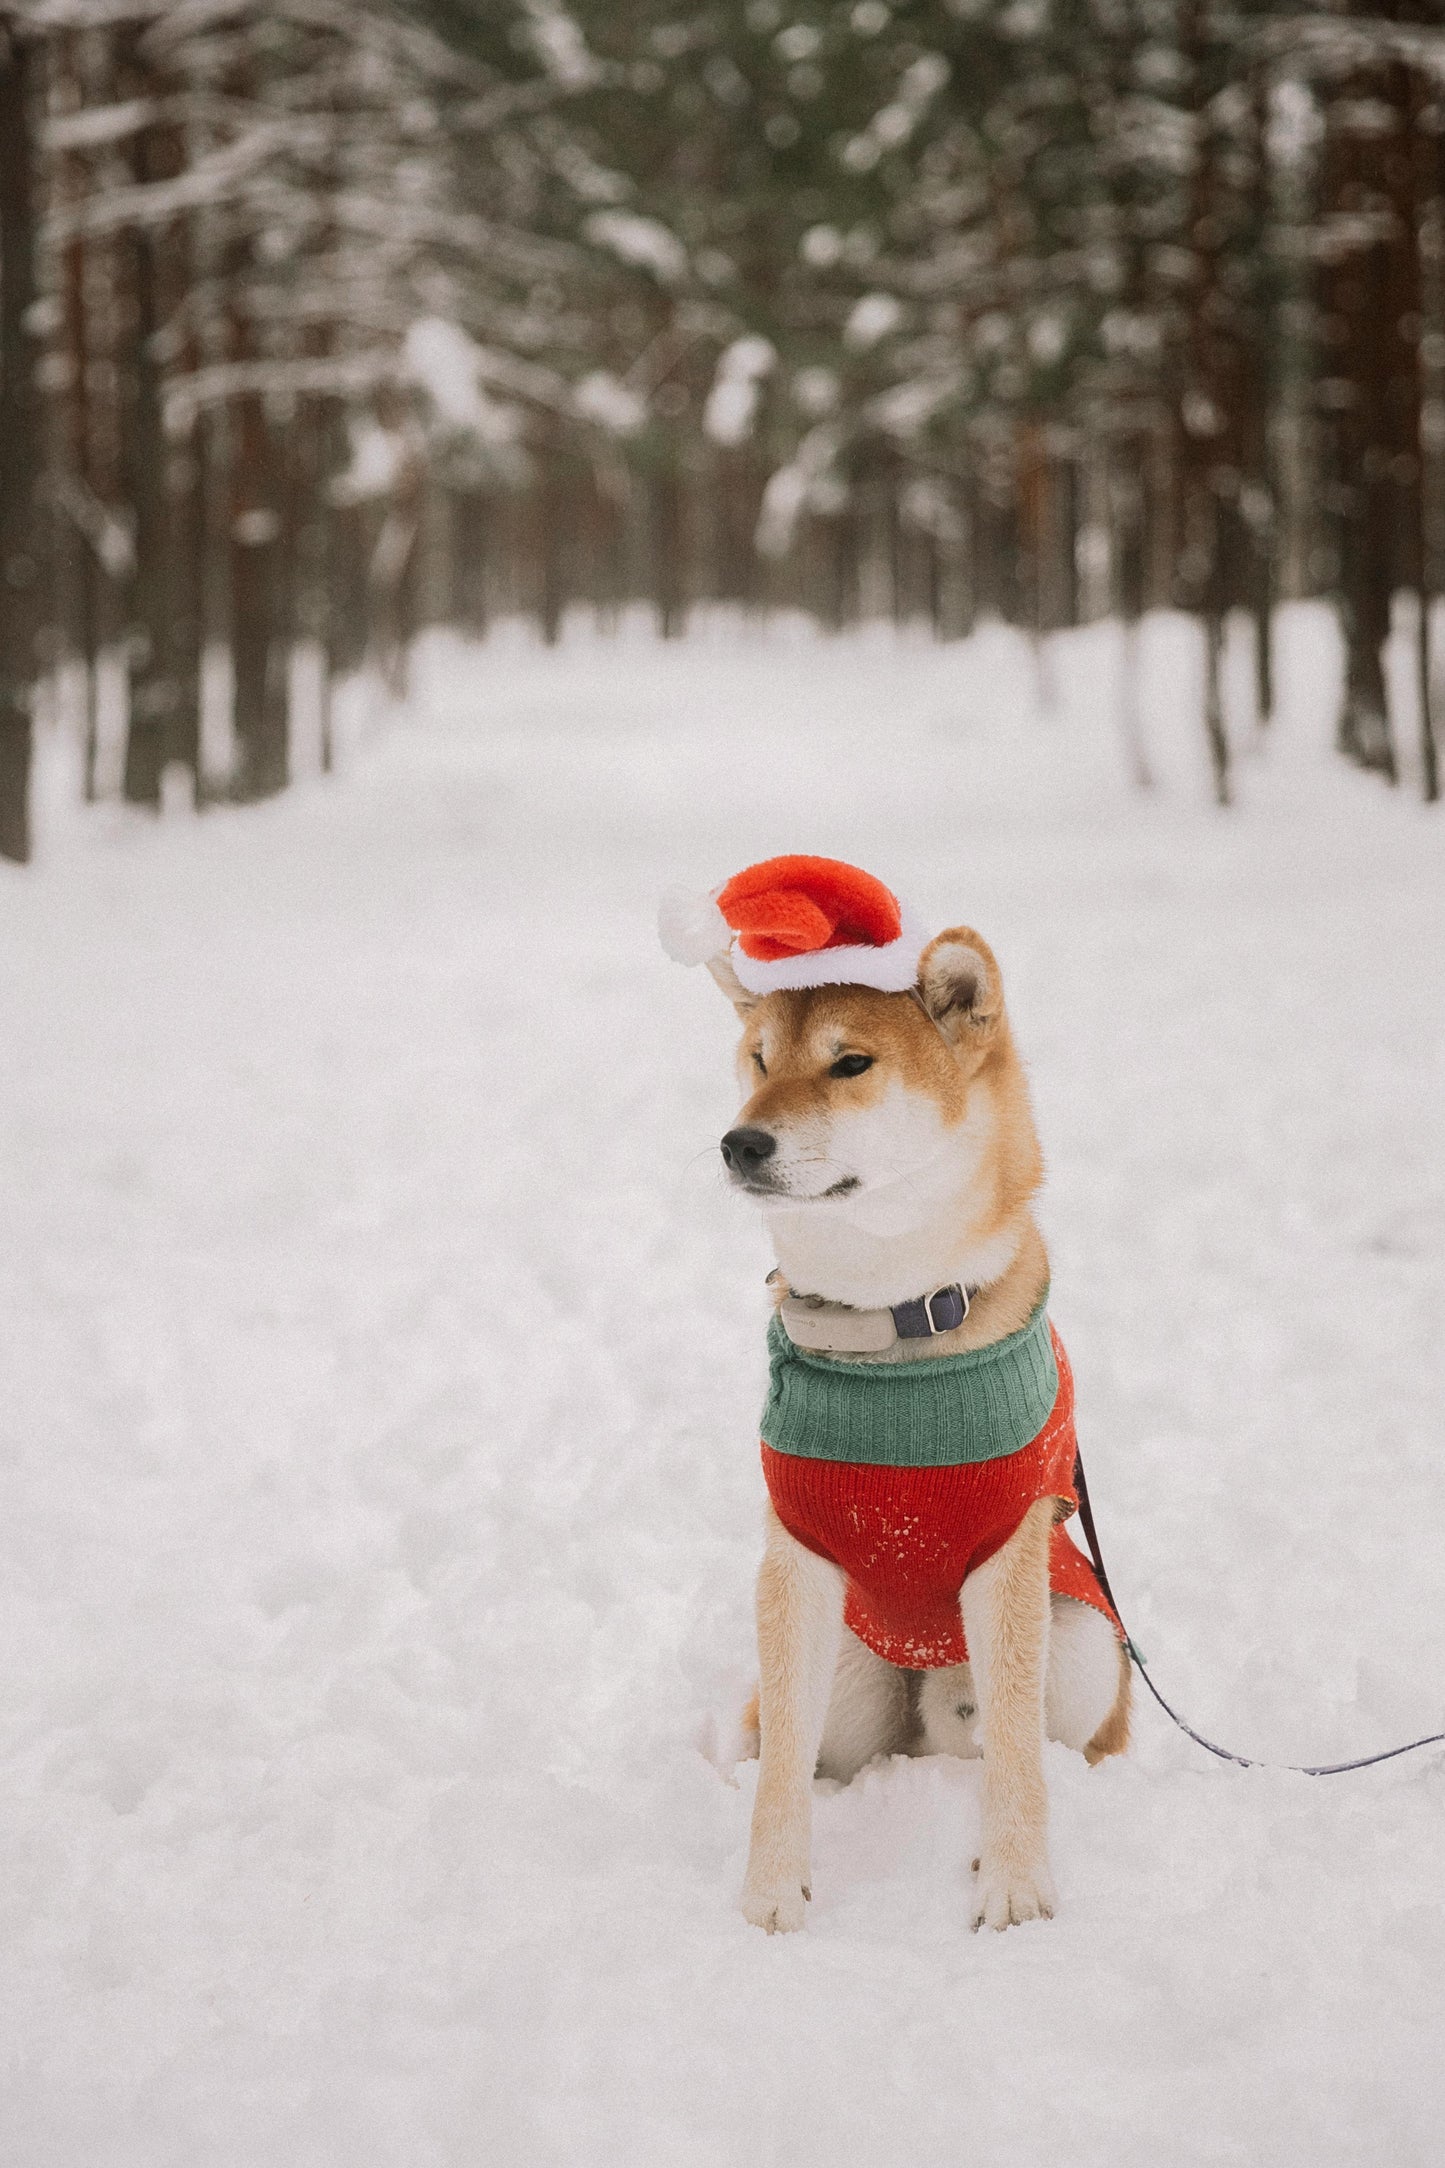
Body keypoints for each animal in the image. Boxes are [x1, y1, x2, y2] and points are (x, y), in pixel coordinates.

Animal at [667, 854, 1126, 1942]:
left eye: (849, 1064)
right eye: (758, 1058)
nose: (738, 1143)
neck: (892, 1323)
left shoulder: (1006, 1549)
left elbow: (1014, 1756)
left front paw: (1013, 1885)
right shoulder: (796, 1553)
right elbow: (780, 1774)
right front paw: (770, 1889)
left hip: (1085, 1640)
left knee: (1030, 1740)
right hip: (846, 1674)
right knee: (804, 1741)